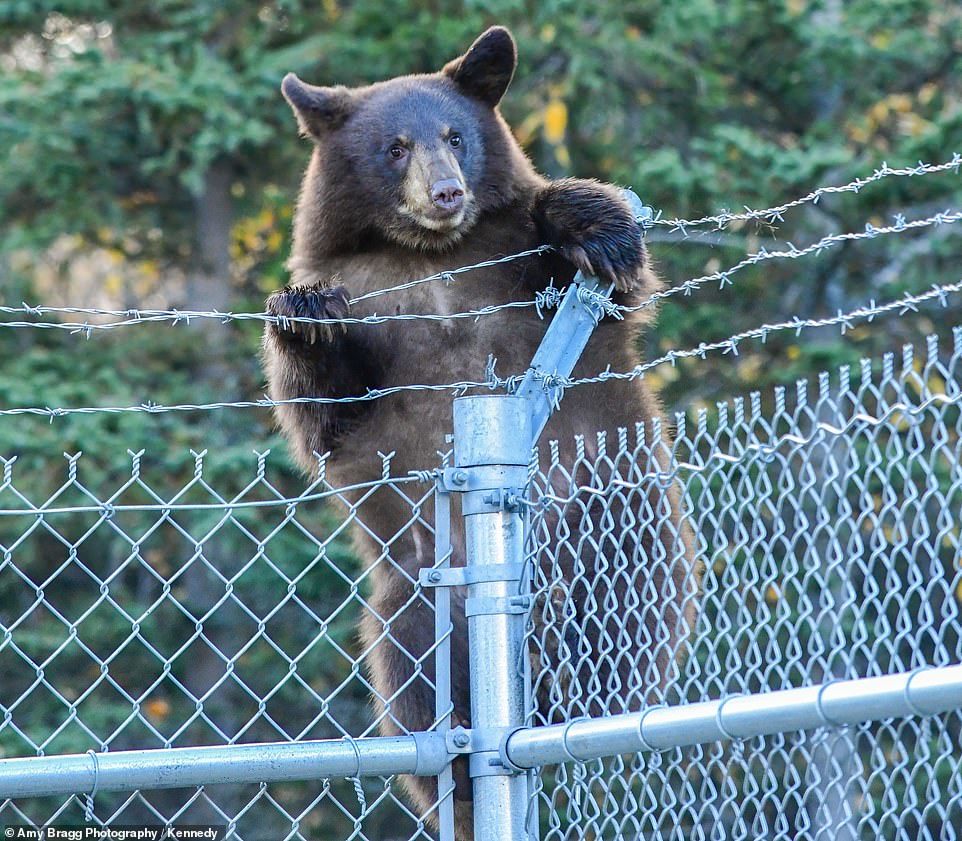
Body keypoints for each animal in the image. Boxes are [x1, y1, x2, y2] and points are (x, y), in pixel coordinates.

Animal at [262, 26, 696, 840]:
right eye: (395, 146)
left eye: (456, 135)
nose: (446, 192)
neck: (429, 255)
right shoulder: (369, 304)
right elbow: (318, 411)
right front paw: (303, 313)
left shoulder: (514, 272)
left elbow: (610, 278)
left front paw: (598, 226)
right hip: (413, 600)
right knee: (417, 689)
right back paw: (462, 778)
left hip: (614, 542)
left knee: (612, 637)